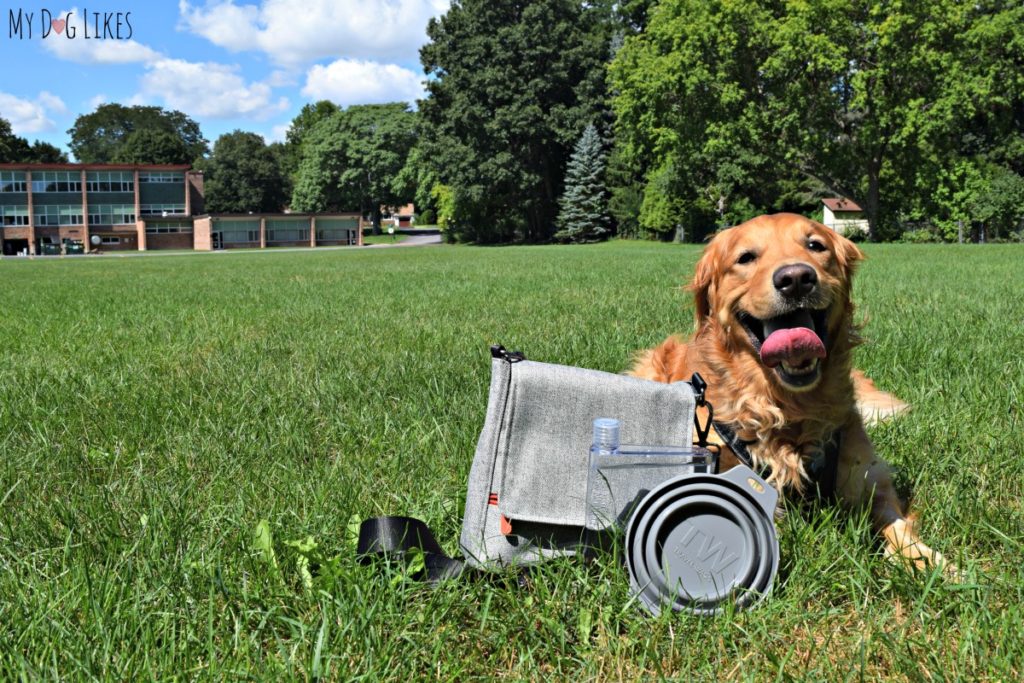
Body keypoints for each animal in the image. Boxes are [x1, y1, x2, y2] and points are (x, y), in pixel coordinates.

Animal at [630, 211, 950, 573]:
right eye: (746, 257)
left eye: (815, 246)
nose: (796, 278)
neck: (787, 407)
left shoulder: (866, 476)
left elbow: (893, 520)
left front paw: (926, 561)